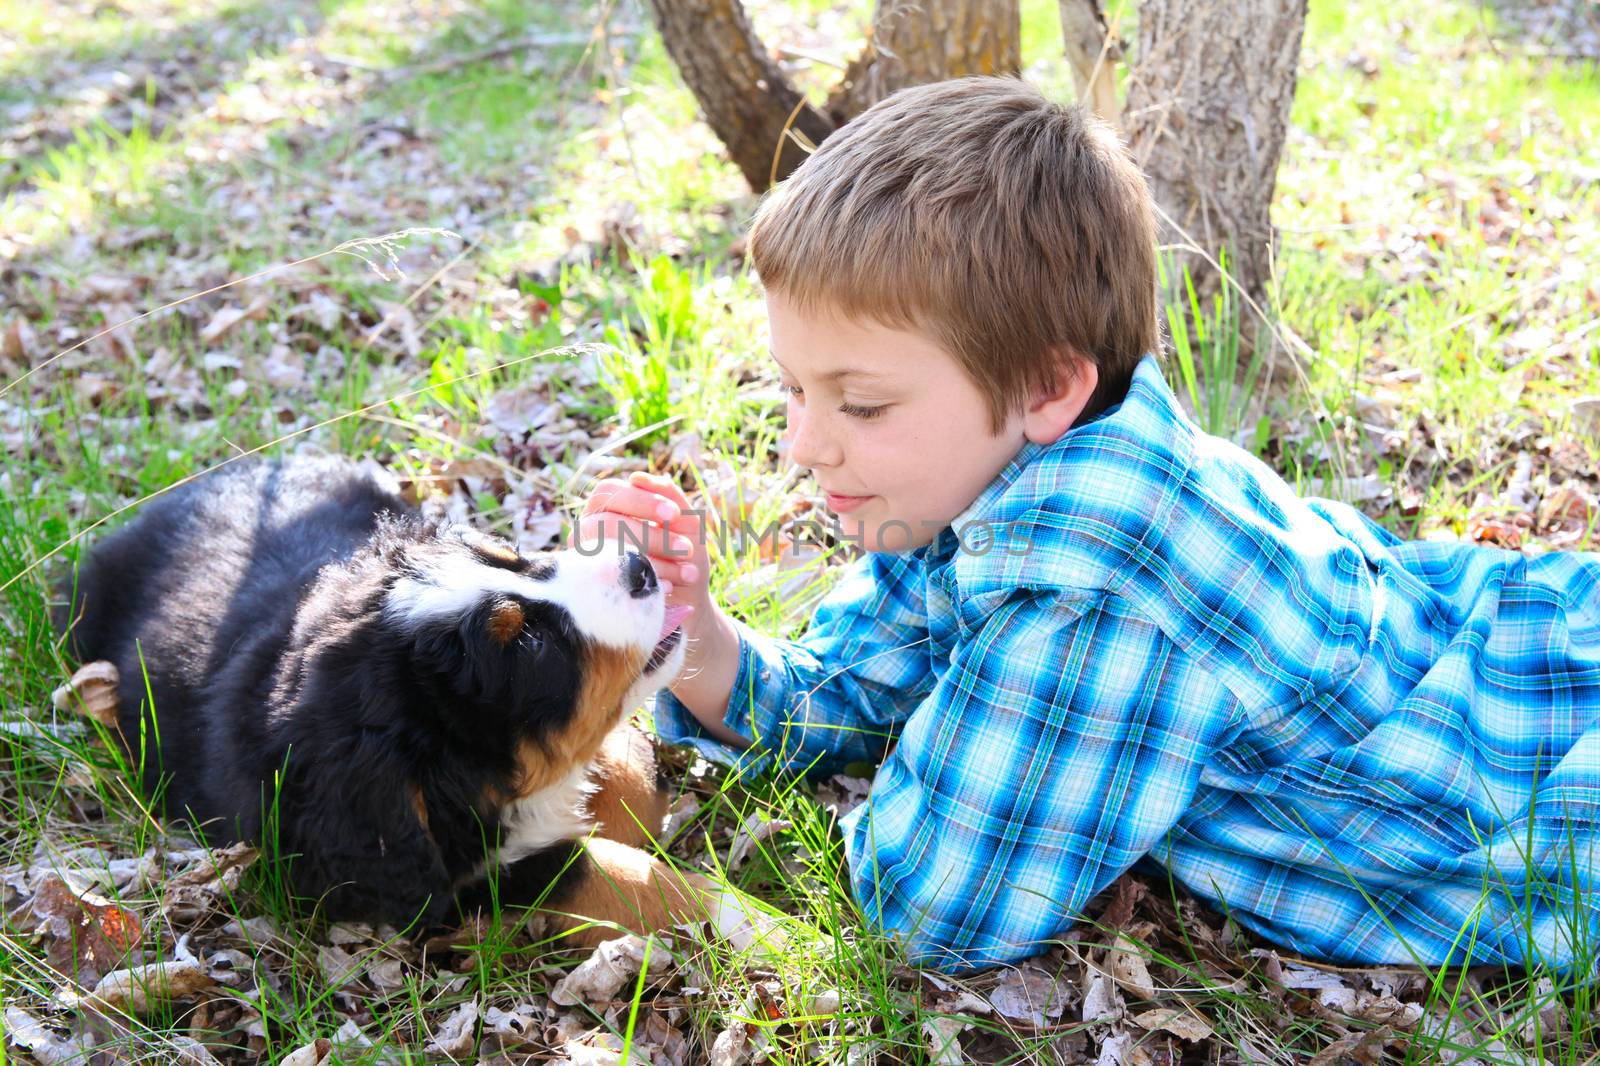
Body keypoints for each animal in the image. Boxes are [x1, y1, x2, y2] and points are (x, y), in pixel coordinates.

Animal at [65, 454, 777, 947]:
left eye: (513, 555)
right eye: (529, 646)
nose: (641, 568)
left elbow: (622, 773)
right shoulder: (433, 884)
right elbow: (592, 871)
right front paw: (750, 924)